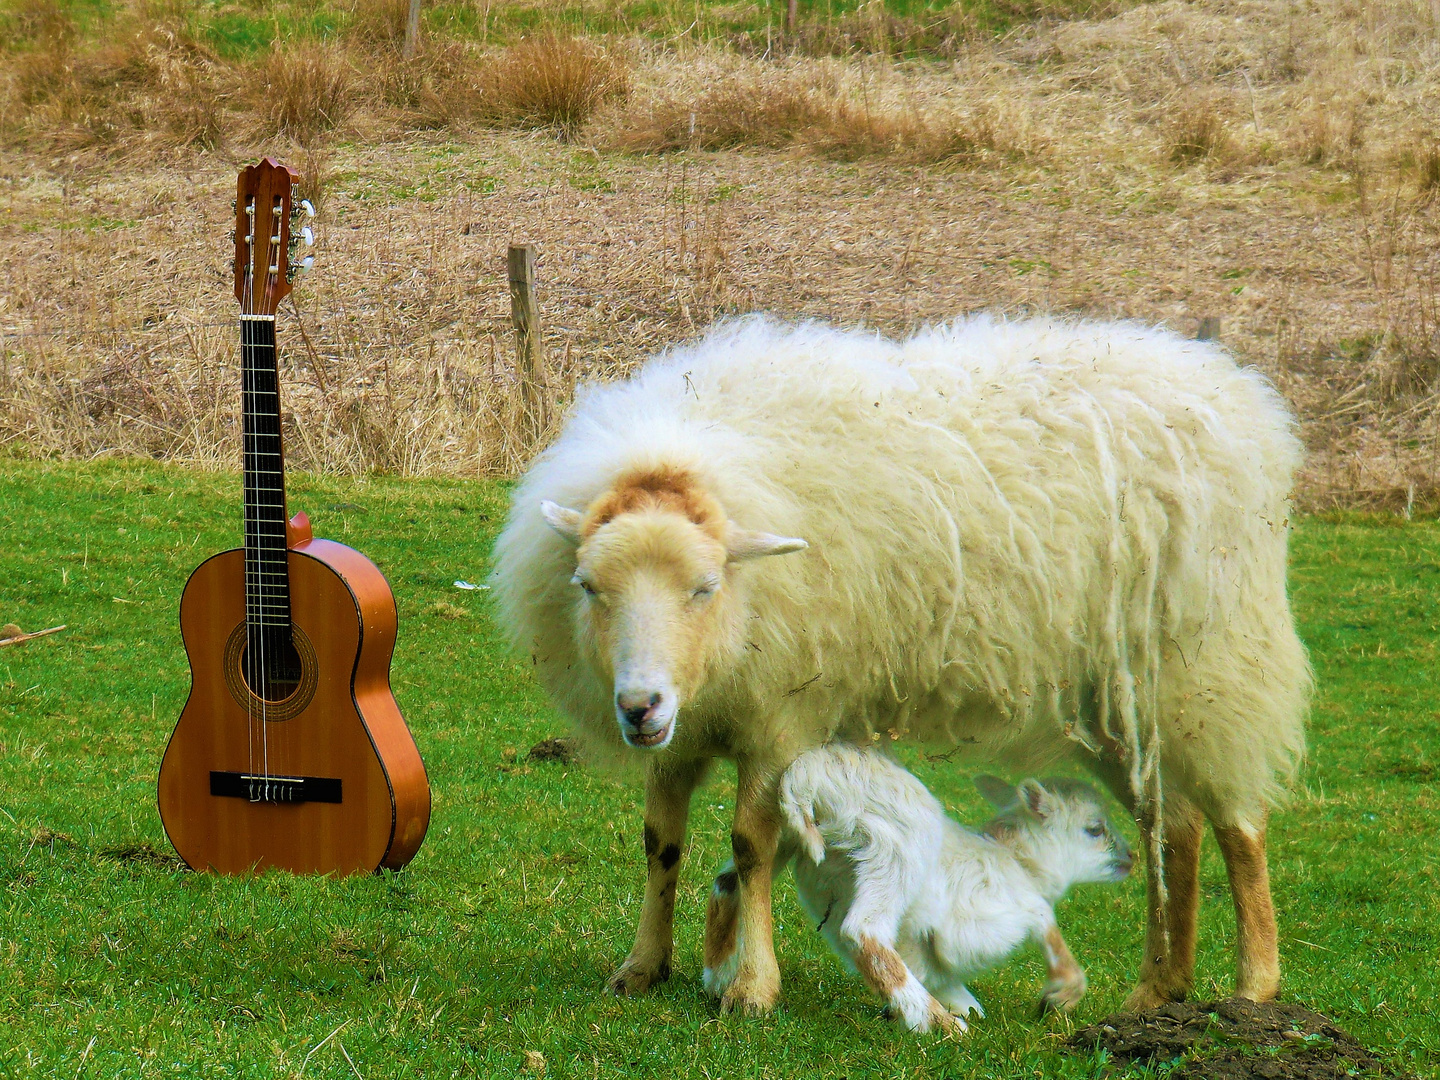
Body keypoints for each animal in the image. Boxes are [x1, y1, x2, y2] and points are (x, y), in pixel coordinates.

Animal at [702, 748, 1128, 1036]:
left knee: (732, 876)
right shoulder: (988, 915)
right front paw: (1060, 995)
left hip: (793, 838)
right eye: (1095, 829)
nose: (1132, 857)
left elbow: (938, 972)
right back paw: (941, 1026)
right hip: (893, 848)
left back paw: (719, 980)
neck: (1018, 861)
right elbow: (1045, 920)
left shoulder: (921, 939)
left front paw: (936, 1006)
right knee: (863, 932)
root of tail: (807, 774)